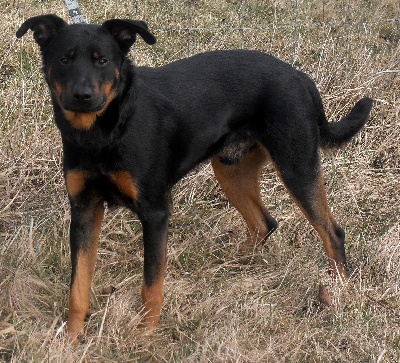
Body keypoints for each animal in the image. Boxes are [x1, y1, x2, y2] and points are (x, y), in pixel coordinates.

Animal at [15, 14, 372, 344]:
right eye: (64, 59)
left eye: (102, 60)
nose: (82, 96)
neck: (105, 131)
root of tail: (301, 78)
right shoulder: (84, 209)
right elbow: (78, 286)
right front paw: (72, 339)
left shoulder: (155, 213)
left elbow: (151, 285)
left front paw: (145, 336)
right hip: (231, 170)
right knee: (264, 222)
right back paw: (232, 267)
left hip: (297, 165)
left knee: (332, 232)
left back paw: (341, 292)